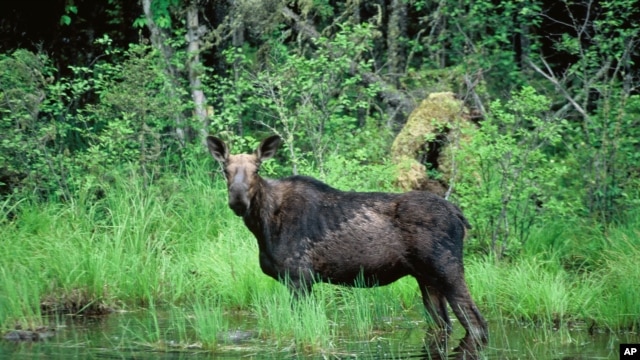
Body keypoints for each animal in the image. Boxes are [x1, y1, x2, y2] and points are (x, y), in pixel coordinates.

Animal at [208, 134, 488, 344]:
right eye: (225, 170)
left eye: (256, 169)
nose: (238, 200)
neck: (263, 226)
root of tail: (459, 215)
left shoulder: (300, 278)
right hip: (426, 277)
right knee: (443, 325)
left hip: (447, 269)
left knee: (477, 323)